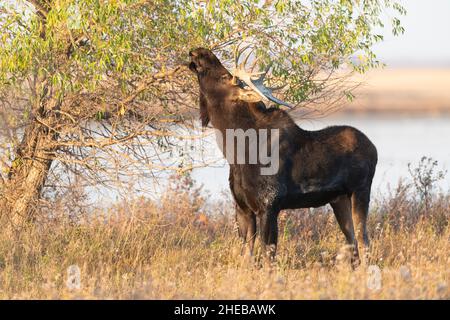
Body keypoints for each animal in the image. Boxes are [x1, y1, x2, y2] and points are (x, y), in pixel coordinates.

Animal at [188, 47, 378, 264]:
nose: (199, 51)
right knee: (352, 241)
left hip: (360, 191)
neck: (235, 152)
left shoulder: (269, 205)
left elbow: (267, 256)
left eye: (224, 76)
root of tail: (374, 149)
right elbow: (247, 257)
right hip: (338, 199)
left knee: (364, 241)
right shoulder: (243, 208)